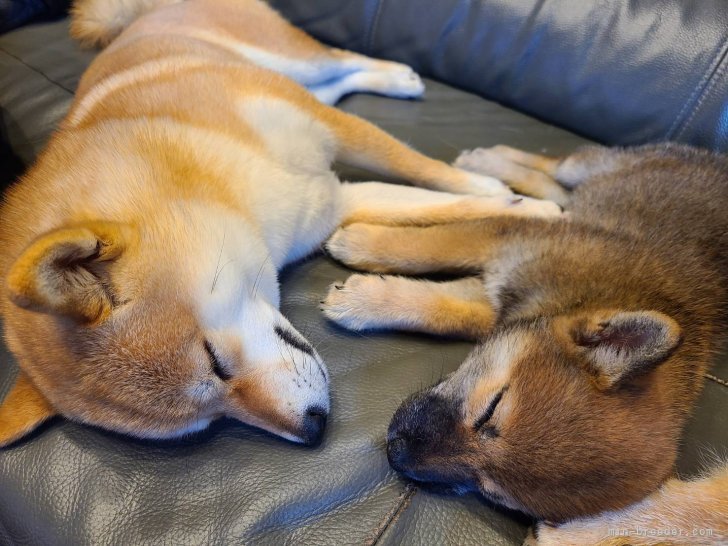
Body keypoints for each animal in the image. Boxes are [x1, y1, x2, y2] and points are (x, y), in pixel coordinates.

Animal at [0, 0, 564, 446]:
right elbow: (433, 206)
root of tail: (142, 17)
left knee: (340, 61)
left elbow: (429, 172)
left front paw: (515, 199)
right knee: (340, 80)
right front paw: (520, 205)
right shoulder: (331, 203)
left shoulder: (331, 132)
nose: (312, 429)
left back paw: (397, 77)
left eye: (214, 360)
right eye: (209, 420)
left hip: (289, 60)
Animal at [324, 142, 728, 540]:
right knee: (554, 165)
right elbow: (428, 246)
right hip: (593, 164)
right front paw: (356, 243)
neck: (594, 295)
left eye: (487, 489)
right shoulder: (506, 240)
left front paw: (361, 298)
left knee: (559, 191)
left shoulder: (497, 300)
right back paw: (490, 160)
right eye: (491, 408)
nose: (397, 451)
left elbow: (440, 308)